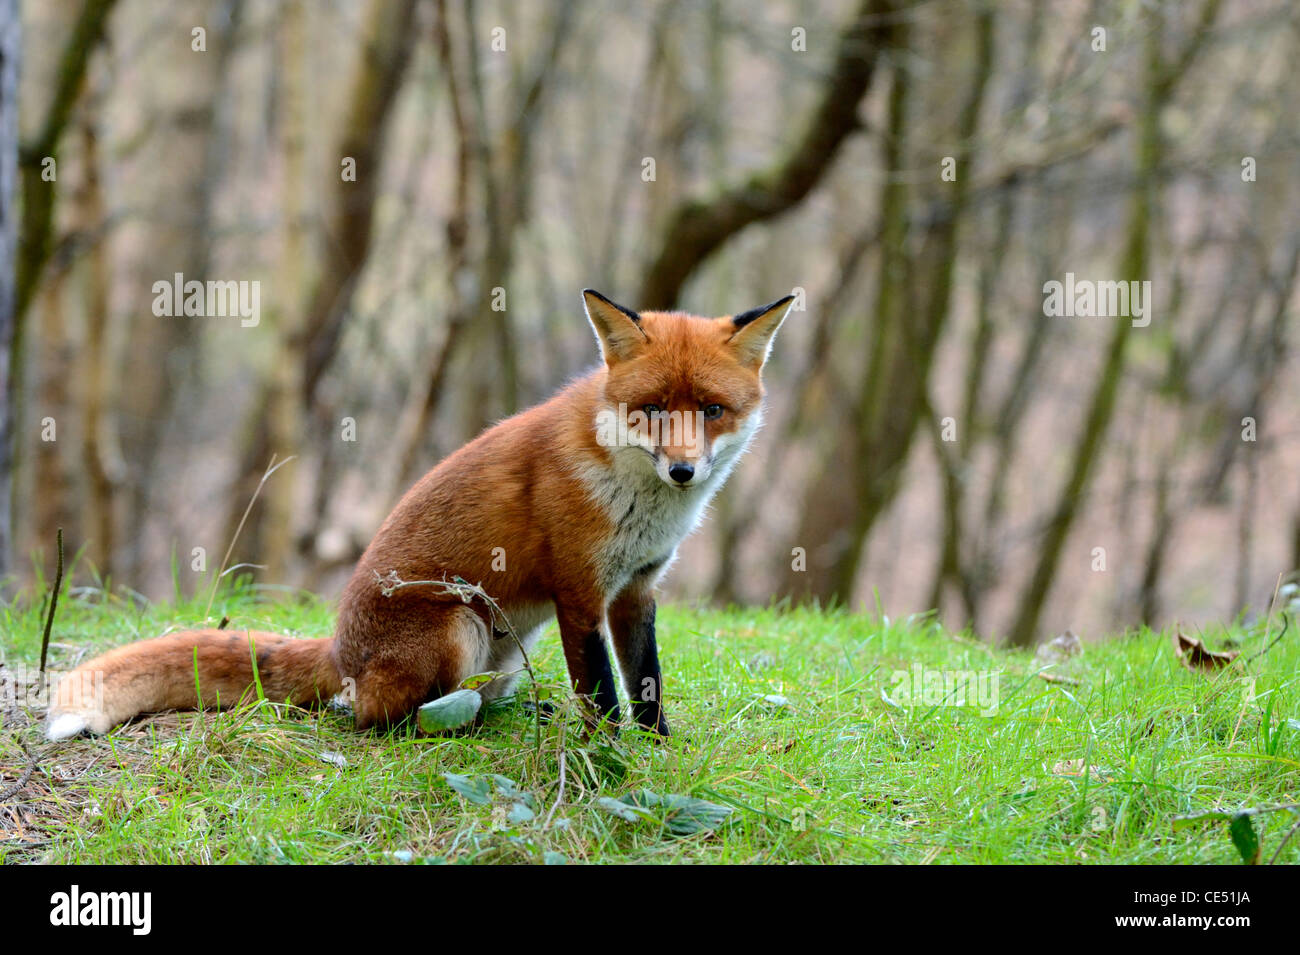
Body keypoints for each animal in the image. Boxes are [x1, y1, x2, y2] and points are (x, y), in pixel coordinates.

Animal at [45, 289, 795, 741]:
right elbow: (603, 690)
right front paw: (609, 755)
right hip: (460, 623)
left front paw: (657, 745)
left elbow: (646, 680)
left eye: (712, 410)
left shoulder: (636, 587)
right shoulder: (580, 589)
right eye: (652, 410)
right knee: (372, 711)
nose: (683, 471)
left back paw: (515, 710)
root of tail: (338, 646)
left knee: (478, 692)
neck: (639, 497)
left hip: (504, 649)